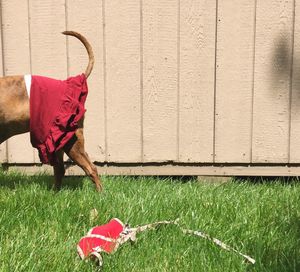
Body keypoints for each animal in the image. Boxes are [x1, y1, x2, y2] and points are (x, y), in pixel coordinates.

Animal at [0, 30, 102, 191]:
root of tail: (68, 83)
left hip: (71, 141)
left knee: (91, 168)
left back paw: (100, 194)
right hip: (59, 142)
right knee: (60, 169)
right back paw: (54, 192)